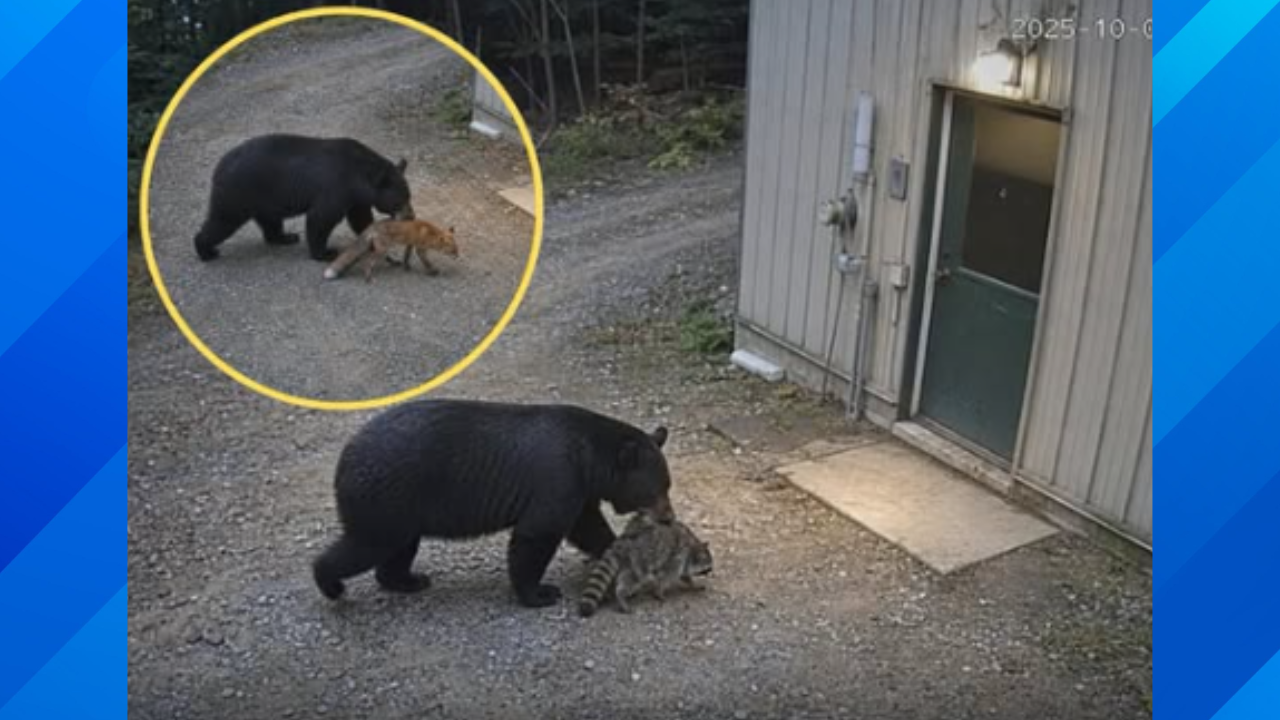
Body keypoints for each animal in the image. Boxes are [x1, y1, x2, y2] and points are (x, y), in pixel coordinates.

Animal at [192, 134, 413, 262]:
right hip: (239, 192)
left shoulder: (355, 196)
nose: (411, 217)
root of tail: (219, 168)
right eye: (400, 201)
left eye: (409, 196)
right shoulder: (337, 186)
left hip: (265, 196)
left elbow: (361, 219)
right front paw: (325, 253)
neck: (359, 172)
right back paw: (206, 251)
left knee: (270, 221)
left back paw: (285, 237)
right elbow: (321, 218)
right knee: (223, 221)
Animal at [311, 399, 676, 609]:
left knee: (399, 547)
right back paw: (331, 585)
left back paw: (408, 581)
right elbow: (537, 533)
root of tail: (344, 460)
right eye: (656, 490)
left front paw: (614, 549)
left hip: (402, 504)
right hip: (386, 494)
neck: (588, 455)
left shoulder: (579, 488)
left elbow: (586, 524)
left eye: (668, 486)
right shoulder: (557, 478)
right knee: (368, 544)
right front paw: (540, 593)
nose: (670, 517)